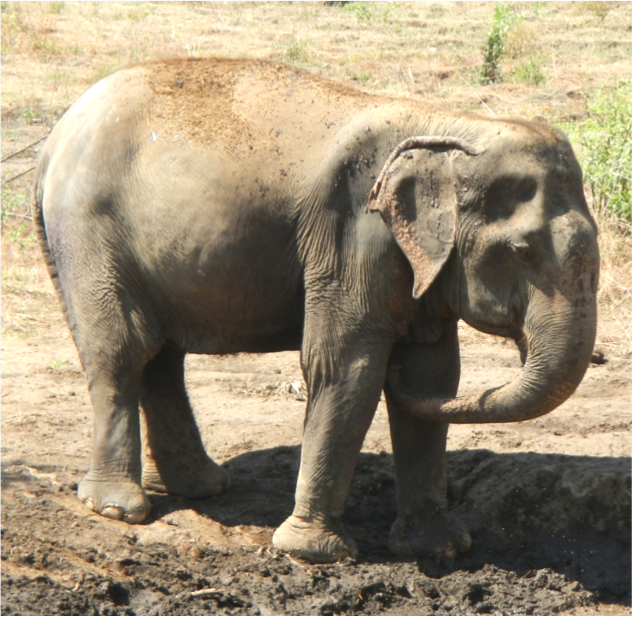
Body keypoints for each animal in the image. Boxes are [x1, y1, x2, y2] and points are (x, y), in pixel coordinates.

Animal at [33, 57, 596, 564]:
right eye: (522, 250)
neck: (448, 125)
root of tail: (57, 135)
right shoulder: (351, 236)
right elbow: (347, 368)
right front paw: (314, 554)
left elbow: (434, 374)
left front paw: (442, 550)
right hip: (90, 232)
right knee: (123, 351)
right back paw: (119, 509)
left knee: (161, 357)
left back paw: (202, 489)